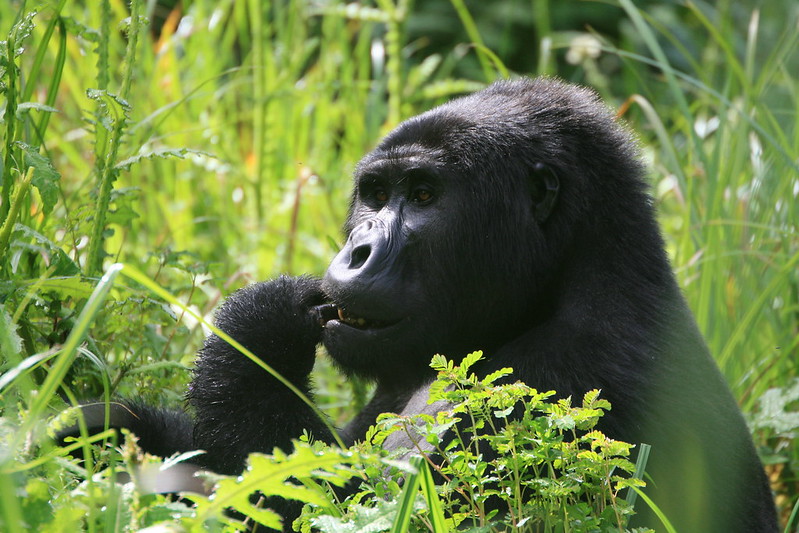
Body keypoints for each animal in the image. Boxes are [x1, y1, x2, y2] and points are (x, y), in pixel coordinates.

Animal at [67, 78, 776, 532]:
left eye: (426, 195)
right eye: (376, 194)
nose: (356, 252)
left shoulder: (554, 379)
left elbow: (311, 509)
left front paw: (258, 326)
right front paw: (100, 429)